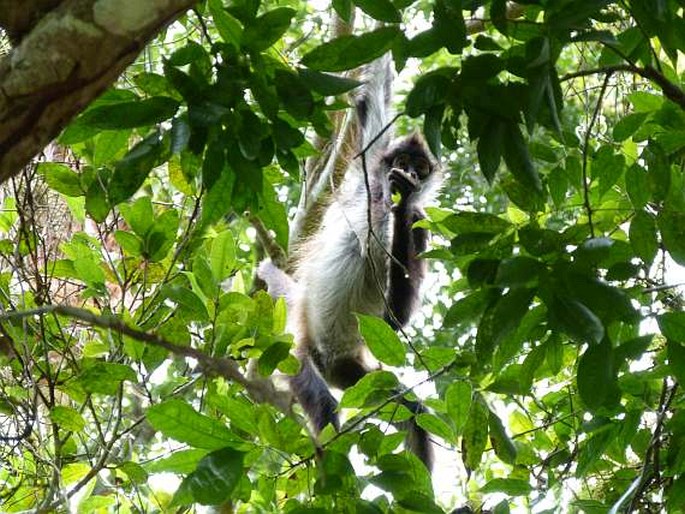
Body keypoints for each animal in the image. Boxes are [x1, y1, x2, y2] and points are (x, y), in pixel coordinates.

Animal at [260, 54, 440, 466]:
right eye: (404, 160)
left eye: (420, 170)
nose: (408, 174)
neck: (378, 201)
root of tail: (332, 362)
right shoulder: (368, 168)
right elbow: (373, 99)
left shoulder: (421, 222)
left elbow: (395, 319)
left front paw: (404, 202)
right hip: (296, 346)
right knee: (324, 406)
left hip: (358, 375)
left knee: (415, 417)